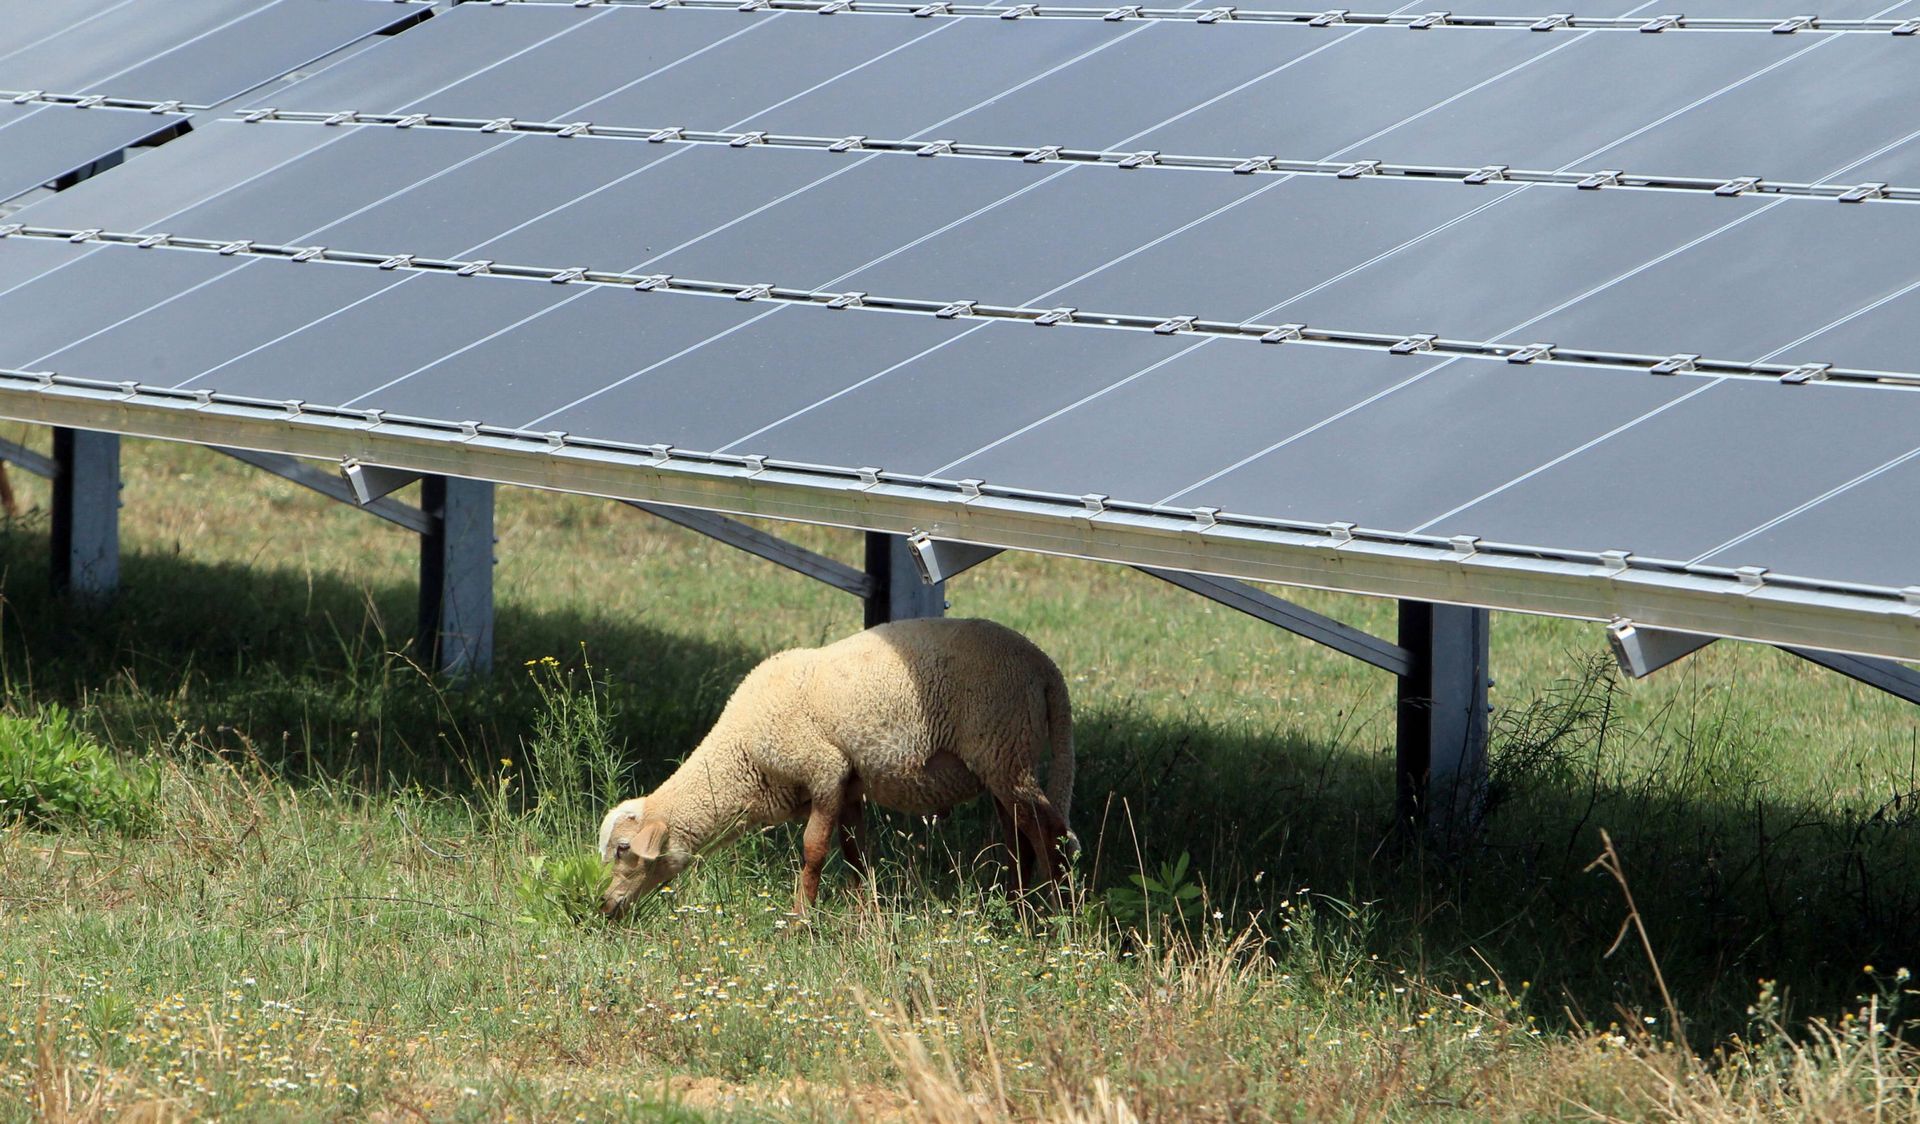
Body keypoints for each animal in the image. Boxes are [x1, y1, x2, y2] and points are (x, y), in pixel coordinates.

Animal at [595, 618, 1075, 914]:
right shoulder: (849, 786)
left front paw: (800, 920)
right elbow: (856, 855)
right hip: (1002, 761)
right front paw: (865, 918)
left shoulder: (824, 771)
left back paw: (1058, 920)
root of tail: (1044, 667)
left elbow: (813, 850)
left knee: (1049, 832)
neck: (742, 756)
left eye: (623, 849)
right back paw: (1014, 910)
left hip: (1004, 747)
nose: (604, 906)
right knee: (1019, 840)